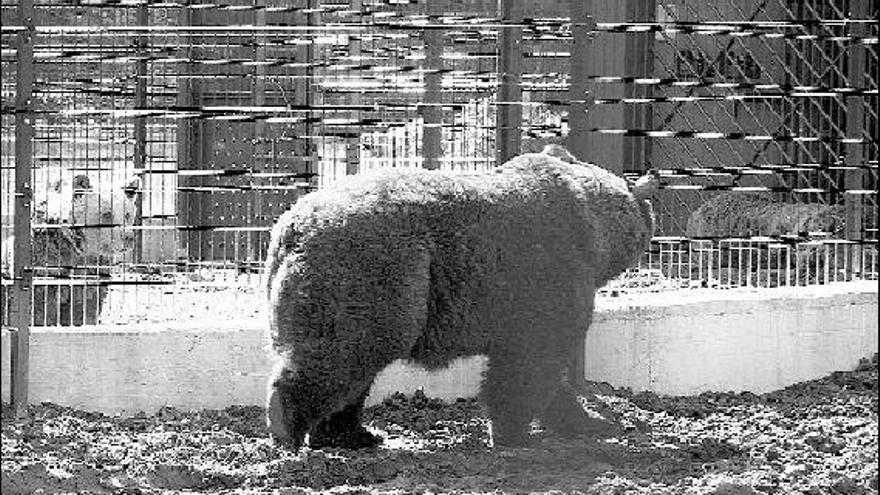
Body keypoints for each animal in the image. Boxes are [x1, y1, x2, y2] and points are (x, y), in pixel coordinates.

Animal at [264, 145, 656, 452]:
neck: (593, 227)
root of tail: (290, 227)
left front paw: (593, 423)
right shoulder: (545, 276)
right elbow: (531, 364)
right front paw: (515, 433)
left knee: (352, 373)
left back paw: (354, 435)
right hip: (375, 278)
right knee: (337, 358)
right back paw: (287, 425)